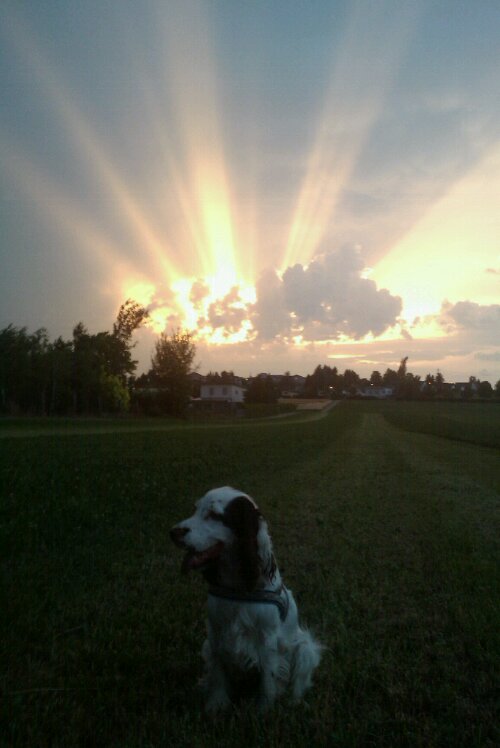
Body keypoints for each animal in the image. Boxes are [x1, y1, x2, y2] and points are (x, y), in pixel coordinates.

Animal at [170, 486, 322, 712]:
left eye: (214, 515)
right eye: (195, 509)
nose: (172, 532)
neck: (238, 586)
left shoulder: (267, 637)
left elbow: (268, 678)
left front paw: (264, 710)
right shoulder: (216, 631)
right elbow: (217, 673)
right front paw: (215, 705)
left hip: (305, 648)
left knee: (299, 681)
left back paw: (294, 702)